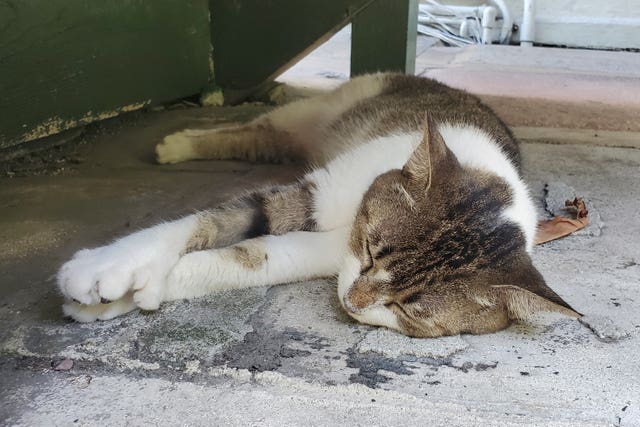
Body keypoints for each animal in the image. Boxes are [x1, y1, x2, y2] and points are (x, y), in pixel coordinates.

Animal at [56, 72, 580, 338]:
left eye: (407, 310)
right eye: (370, 252)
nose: (350, 303)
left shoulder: (325, 253)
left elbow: (251, 258)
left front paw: (129, 297)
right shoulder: (319, 193)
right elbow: (211, 221)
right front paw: (111, 265)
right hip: (311, 110)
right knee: (254, 128)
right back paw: (181, 144)